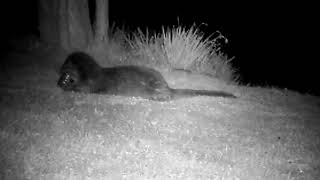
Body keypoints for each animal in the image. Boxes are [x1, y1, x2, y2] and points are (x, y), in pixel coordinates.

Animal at [57, 51, 236, 101]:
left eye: (65, 65)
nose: (58, 80)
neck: (89, 74)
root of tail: (167, 86)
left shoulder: (88, 85)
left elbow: (79, 88)